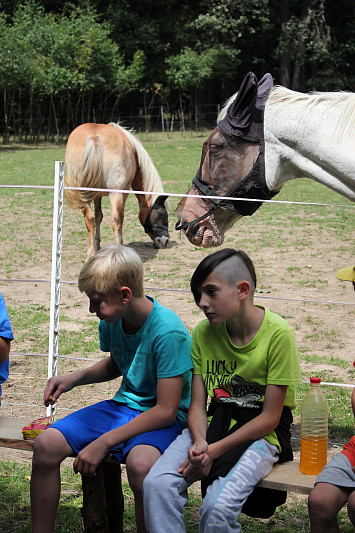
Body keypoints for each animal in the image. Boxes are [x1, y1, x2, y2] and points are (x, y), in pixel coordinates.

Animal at [65, 122, 170, 256]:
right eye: (163, 214)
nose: (165, 241)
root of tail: (94, 137)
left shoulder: (97, 194)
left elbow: (98, 216)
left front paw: (97, 245)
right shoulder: (123, 192)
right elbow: (120, 218)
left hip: (83, 193)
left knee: (90, 218)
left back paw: (91, 253)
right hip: (116, 193)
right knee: (116, 219)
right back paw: (119, 250)